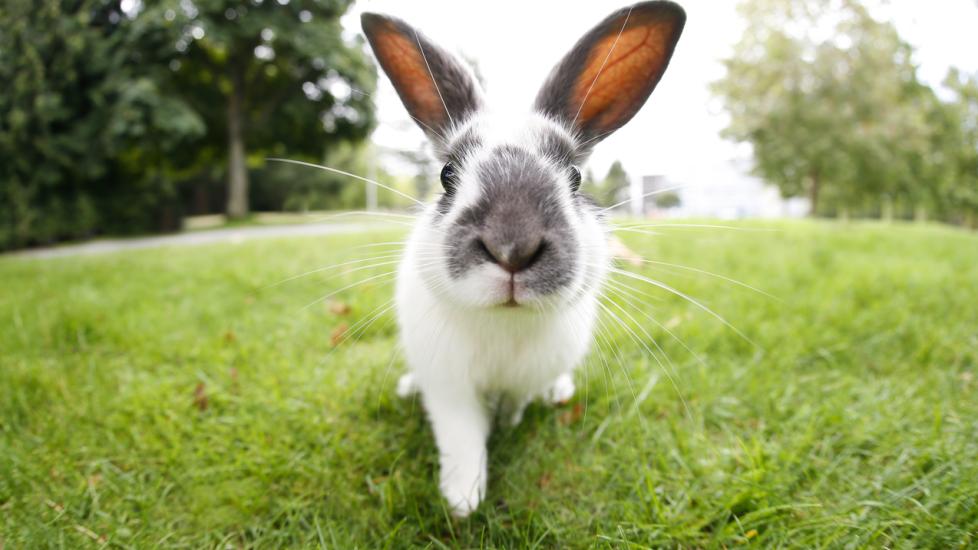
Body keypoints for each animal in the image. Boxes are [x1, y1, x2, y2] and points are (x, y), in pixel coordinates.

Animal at [360, 1, 686, 517]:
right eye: (447, 174)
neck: (504, 322)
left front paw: (506, 429)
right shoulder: (450, 389)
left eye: (575, 177)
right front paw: (462, 500)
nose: (512, 247)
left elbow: (513, 407)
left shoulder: (524, 379)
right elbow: (463, 438)